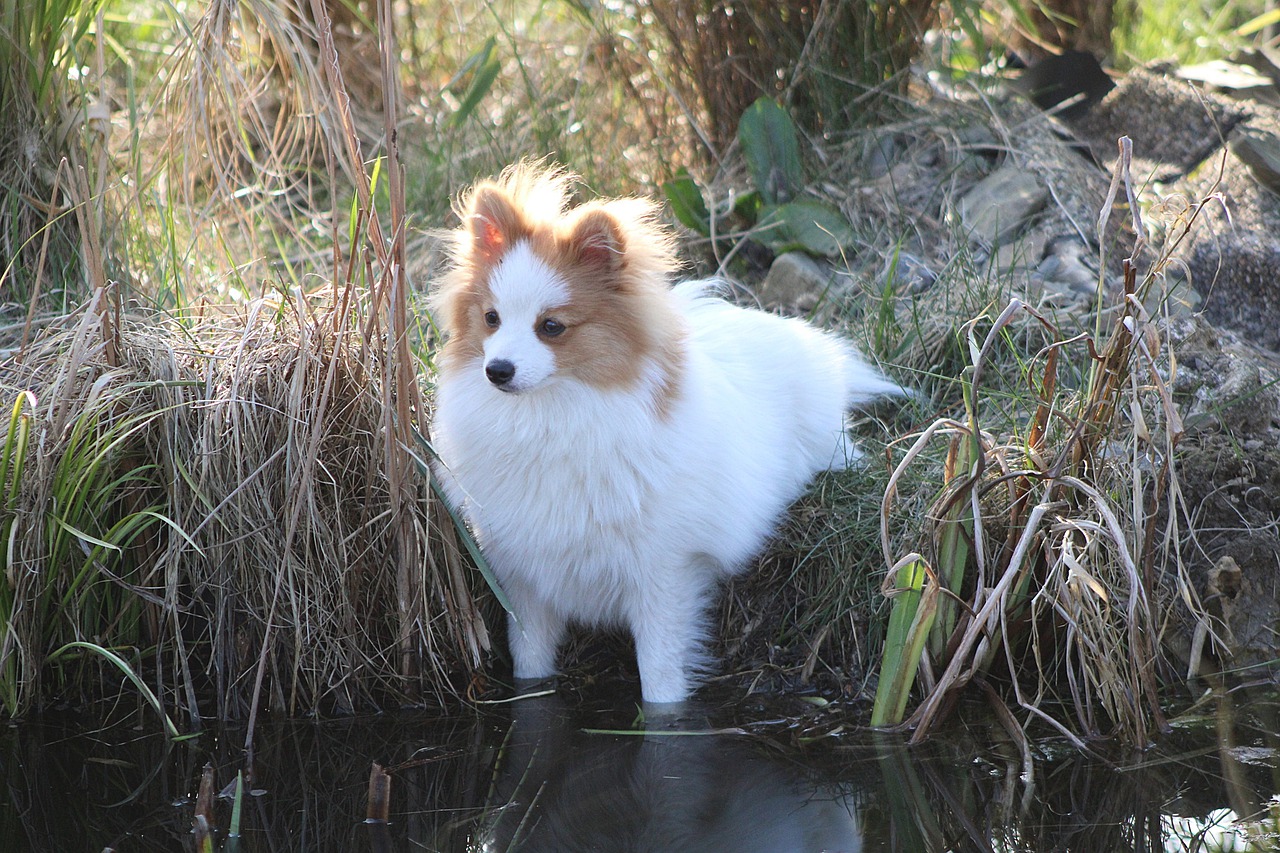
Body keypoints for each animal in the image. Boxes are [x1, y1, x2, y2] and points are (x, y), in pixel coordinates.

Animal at [430, 162, 901, 701]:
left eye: (551, 327)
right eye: (491, 319)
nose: (498, 370)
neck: (552, 417)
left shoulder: (664, 575)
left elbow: (659, 677)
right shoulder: (525, 581)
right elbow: (530, 665)